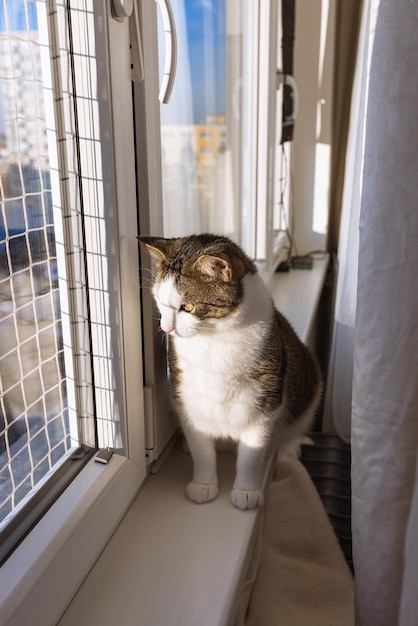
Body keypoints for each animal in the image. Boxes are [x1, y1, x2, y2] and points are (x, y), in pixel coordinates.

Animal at [139, 234, 322, 508]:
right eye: (161, 302)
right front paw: (204, 484)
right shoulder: (188, 397)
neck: (215, 339)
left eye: (188, 307)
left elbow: (251, 454)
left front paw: (246, 490)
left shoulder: (265, 402)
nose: (167, 329)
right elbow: (201, 450)